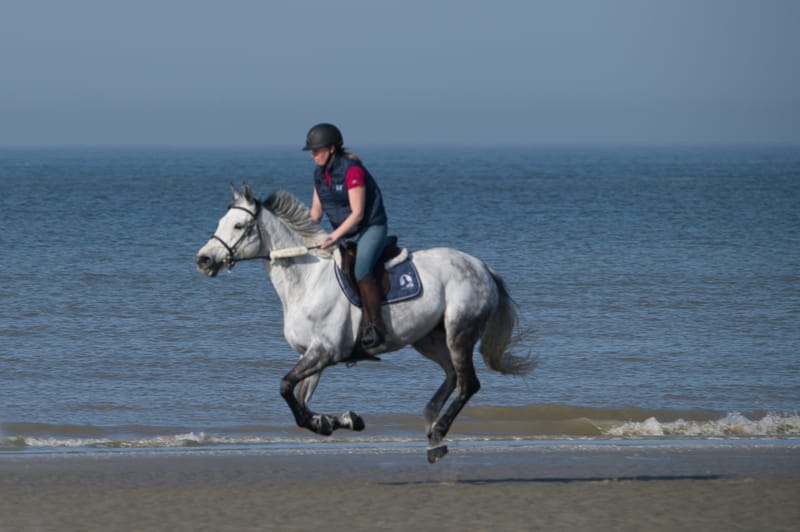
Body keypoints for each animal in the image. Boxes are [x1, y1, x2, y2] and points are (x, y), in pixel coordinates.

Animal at [195, 184, 533, 463]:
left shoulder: (324, 352)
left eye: (239, 225)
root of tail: (483, 267)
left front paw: (338, 420)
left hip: (459, 333)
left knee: (467, 383)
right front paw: (336, 420)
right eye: (220, 222)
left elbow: (286, 388)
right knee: (452, 376)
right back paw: (433, 427)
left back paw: (438, 433)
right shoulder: (311, 355)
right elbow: (301, 405)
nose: (204, 260)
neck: (307, 279)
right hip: (428, 339)